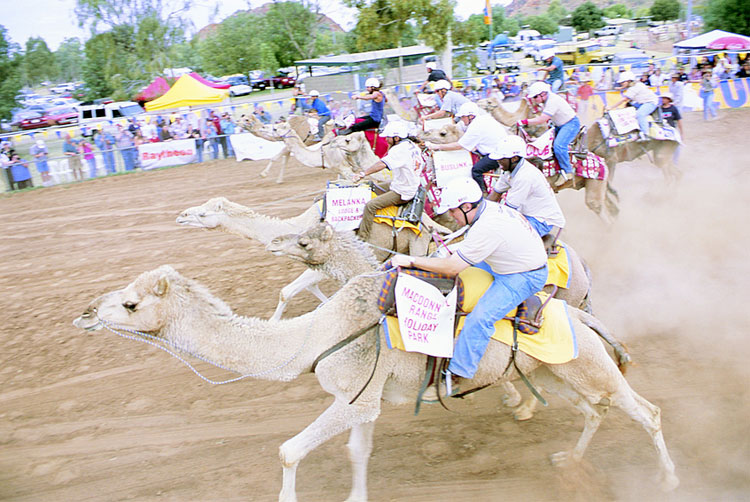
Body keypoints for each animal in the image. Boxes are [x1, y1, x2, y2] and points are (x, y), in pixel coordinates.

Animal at [75, 264, 680, 500]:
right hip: (554, 372)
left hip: (588, 364)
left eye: (130, 304)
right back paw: (568, 463)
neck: (314, 336)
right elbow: (356, 453)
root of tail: (583, 317)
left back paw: (669, 481)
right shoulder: (361, 401)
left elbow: (289, 450)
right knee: (594, 410)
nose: (84, 313)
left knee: (643, 411)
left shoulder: (352, 395)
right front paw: (357, 495)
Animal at [176, 197, 432, 322]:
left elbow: (286, 292)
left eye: (203, 214)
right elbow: (310, 289)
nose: (181, 215)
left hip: (418, 242)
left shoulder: (320, 260)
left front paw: (272, 323)